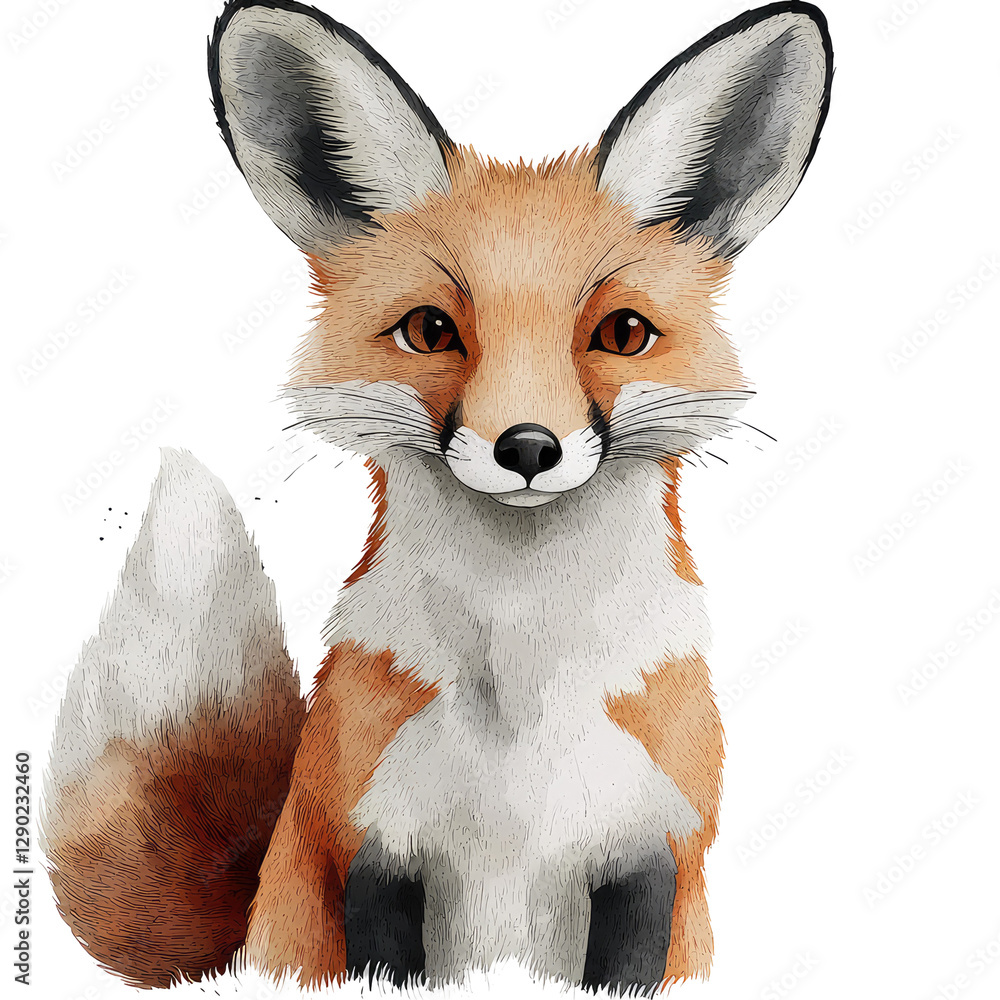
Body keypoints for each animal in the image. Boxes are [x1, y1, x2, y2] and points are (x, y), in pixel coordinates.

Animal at [41, 0, 832, 994]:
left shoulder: (649, 847)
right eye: (429, 330)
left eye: (623, 333)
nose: (527, 447)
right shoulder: (376, 846)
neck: (522, 697)